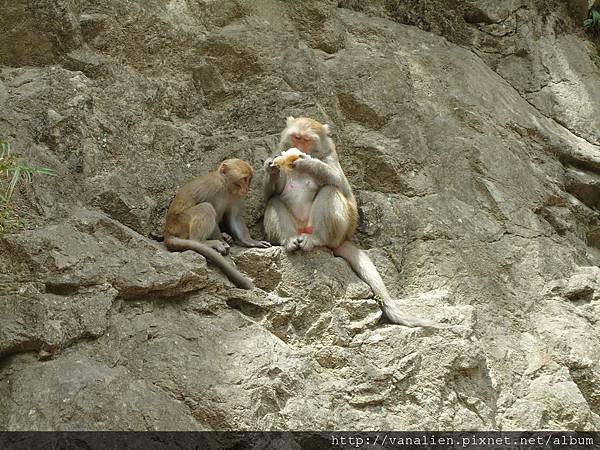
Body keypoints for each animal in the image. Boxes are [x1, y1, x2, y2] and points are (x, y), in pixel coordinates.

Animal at [162, 160, 270, 290]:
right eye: (244, 179)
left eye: (249, 179)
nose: (247, 188)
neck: (226, 187)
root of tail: (168, 230)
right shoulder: (213, 189)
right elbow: (213, 211)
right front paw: (221, 242)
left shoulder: (238, 196)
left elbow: (235, 217)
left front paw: (251, 241)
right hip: (180, 223)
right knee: (206, 208)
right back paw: (203, 242)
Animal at [262, 116, 436, 326]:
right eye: (296, 137)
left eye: (307, 140)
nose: (299, 148)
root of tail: (342, 239)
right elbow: (269, 194)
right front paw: (272, 168)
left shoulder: (330, 156)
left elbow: (340, 184)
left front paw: (307, 163)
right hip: (298, 228)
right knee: (274, 201)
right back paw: (289, 241)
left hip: (337, 231)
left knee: (331, 190)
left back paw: (317, 239)